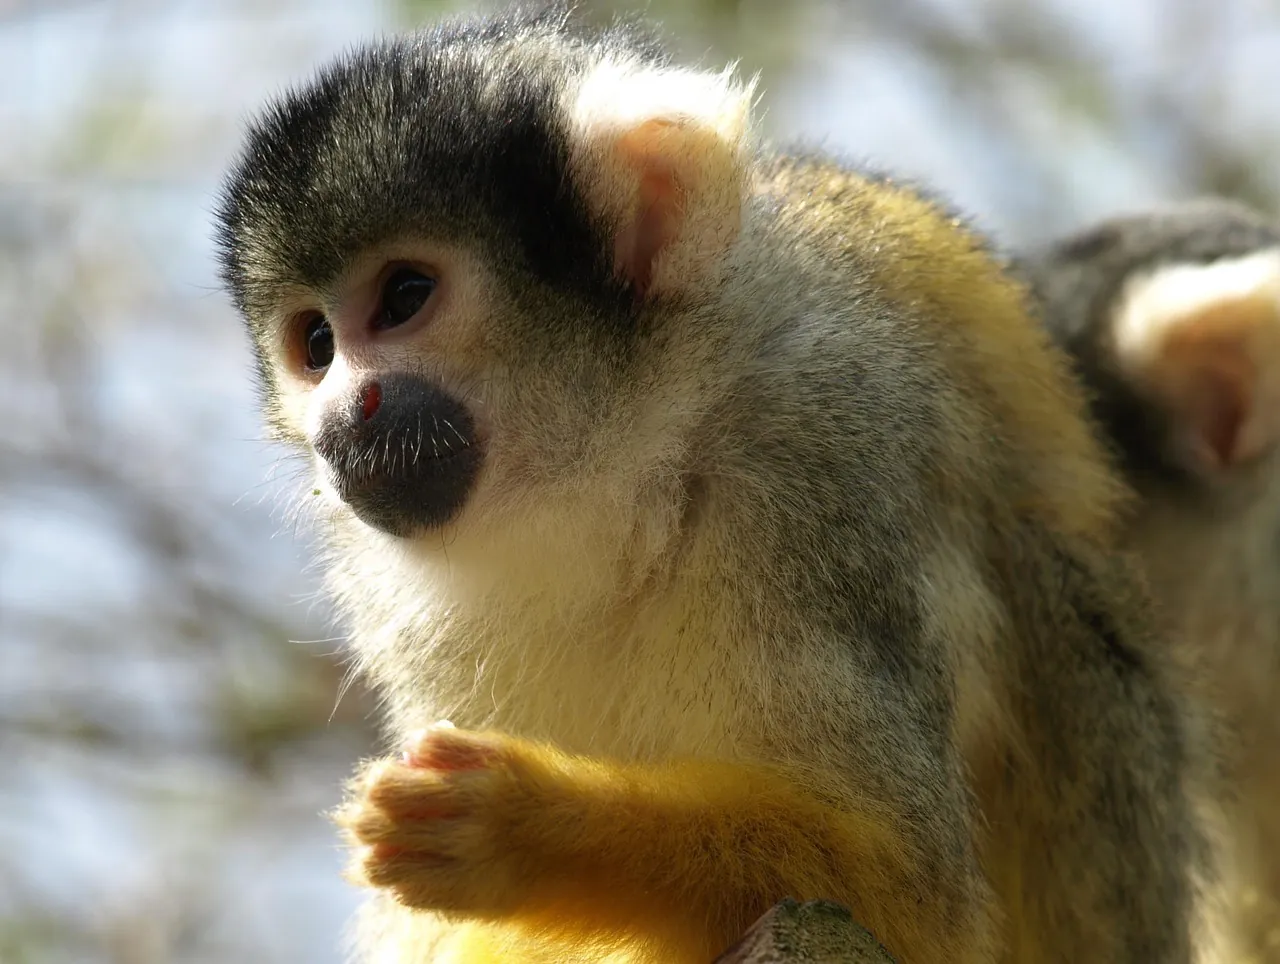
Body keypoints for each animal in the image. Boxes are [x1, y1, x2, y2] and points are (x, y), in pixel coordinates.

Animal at [213, 7, 1207, 964]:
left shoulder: (815, 457)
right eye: (315, 344)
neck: (621, 472)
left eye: (405, 295)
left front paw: (520, 828)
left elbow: (916, 902)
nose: (345, 413)